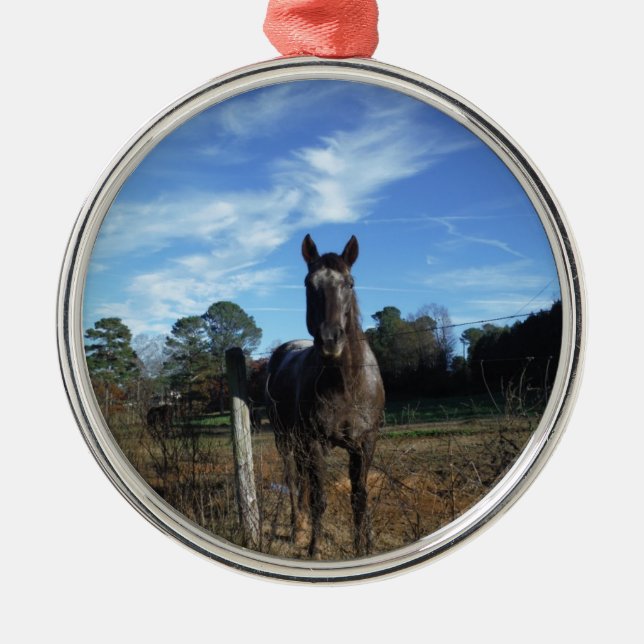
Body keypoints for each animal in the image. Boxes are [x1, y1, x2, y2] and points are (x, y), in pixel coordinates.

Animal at [265, 234, 385, 558]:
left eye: (350, 283)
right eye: (309, 283)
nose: (331, 339)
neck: (346, 384)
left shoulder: (365, 443)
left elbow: (359, 497)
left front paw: (362, 547)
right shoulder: (315, 443)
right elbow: (319, 499)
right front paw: (315, 549)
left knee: (303, 480)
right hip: (286, 439)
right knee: (294, 480)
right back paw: (297, 528)